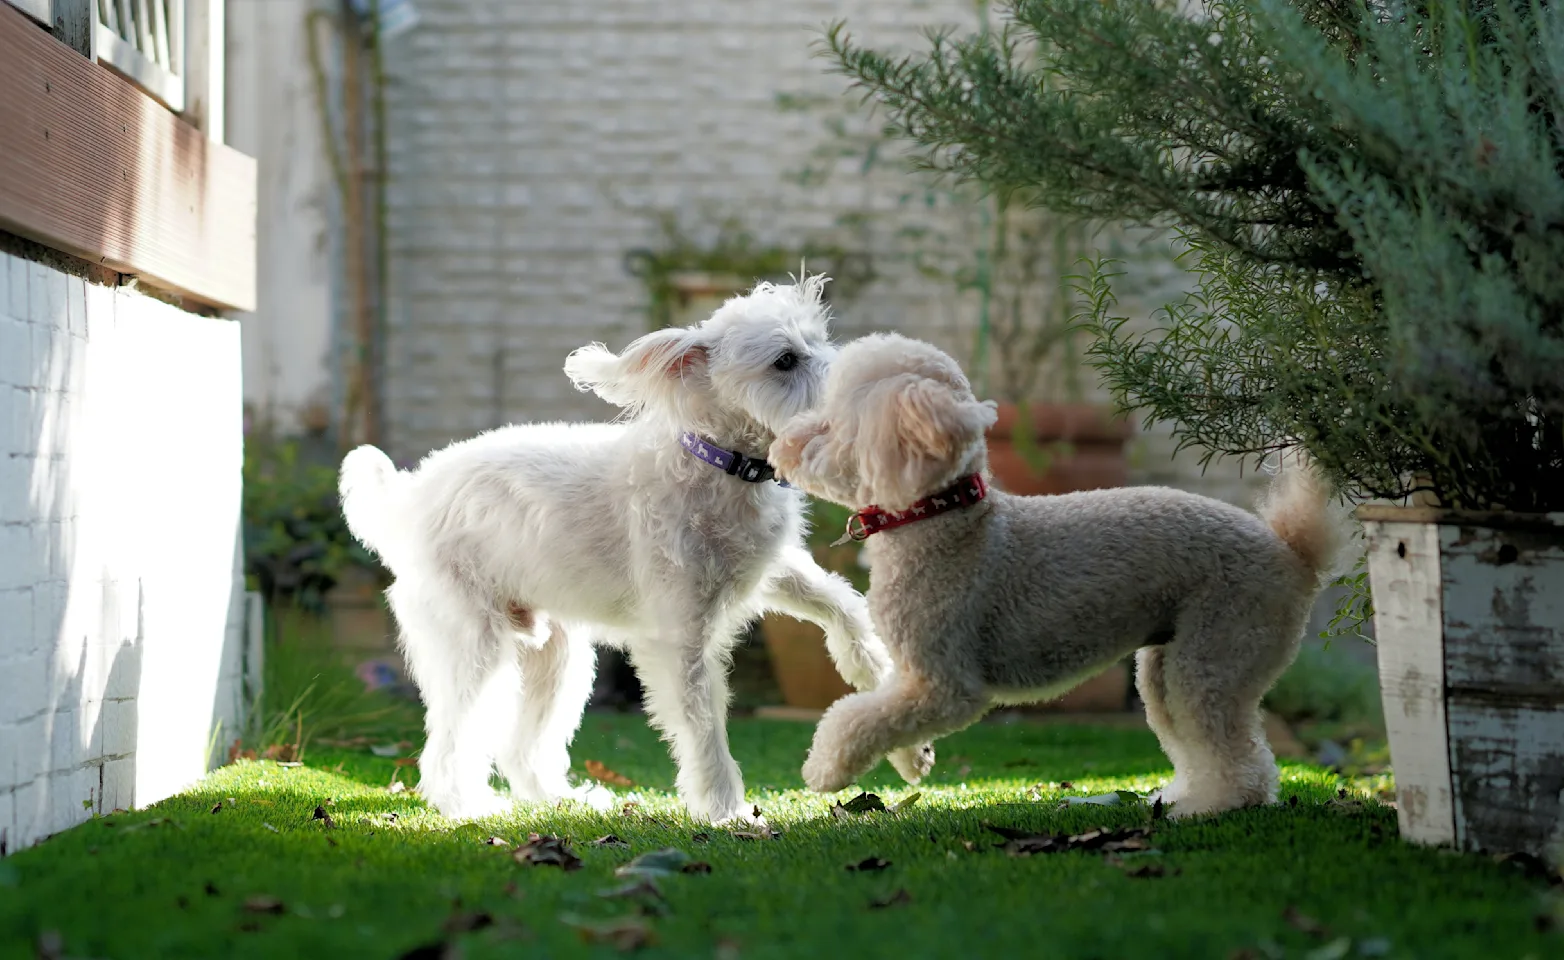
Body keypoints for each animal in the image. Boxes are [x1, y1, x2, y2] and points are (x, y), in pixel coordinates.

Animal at [333, 279, 913, 825]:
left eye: (820, 339)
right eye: (785, 360)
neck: (719, 463)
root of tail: (408, 500)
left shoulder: (769, 569)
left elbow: (841, 603)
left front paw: (878, 688)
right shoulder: (680, 641)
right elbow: (704, 729)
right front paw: (725, 810)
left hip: (558, 660)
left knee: (522, 750)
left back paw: (565, 799)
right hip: (476, 648)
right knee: (449, 744)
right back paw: (466, 806)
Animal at [769, 334, 1345, 819]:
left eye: (831, 425)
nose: (783, 446)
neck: (941, 517)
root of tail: (1293, 552)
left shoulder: (945, 683)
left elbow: (854, 717)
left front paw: (824, 770)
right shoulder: (912, 676)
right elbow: (879, 708)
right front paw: (914, 760)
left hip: (1220, 647)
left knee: (1236, 752)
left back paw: (1214, 805)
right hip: (1168, 666)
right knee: (1197, 739)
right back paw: (1183, 797)